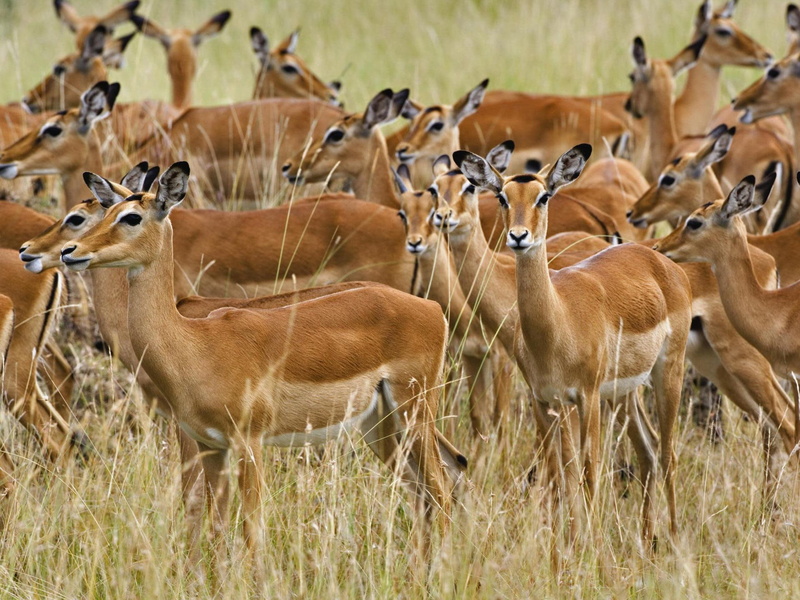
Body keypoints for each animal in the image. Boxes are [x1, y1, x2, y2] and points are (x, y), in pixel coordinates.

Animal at [57, 161, 465, 578]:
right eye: (105, 212)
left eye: (132, 217)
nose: (70, 252)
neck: (194, 343)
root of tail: (431, 309)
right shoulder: (210, 445)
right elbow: (216, 526)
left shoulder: (248, 443)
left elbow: (250, 529)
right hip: (379, 425)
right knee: (429, 486)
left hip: (414, 413)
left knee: (440, 486)